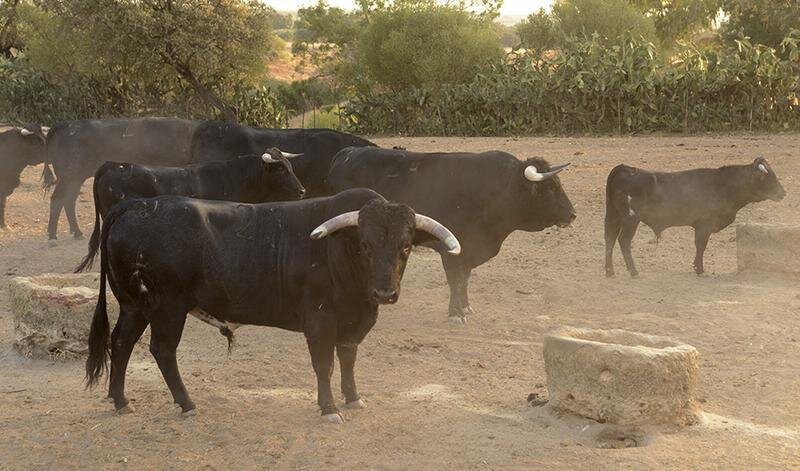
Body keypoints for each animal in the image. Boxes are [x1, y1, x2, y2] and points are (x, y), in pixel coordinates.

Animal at [84, 188, 460, 424]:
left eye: (406, 246)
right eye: (365, 244)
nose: (384, 293)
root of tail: (136, 206)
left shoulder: (352, 325)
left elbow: (348, 360)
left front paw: (353, 398)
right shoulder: (320, 321)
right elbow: (324, 365)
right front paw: (329, 408)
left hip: (134, 306)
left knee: (121, 343)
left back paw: (120, 400)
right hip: (167, 309)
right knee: (162, 350)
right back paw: (187, 404)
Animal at [324, 148, 576, 324]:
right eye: (549, 188)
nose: (572, 214)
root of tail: (345, 153)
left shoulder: (470, 250)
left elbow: (464, 280)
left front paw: (465, 307)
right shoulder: (451, 251)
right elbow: (455, 280)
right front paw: (455, 313)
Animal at [604, 159, 784, 276]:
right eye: (771, 177)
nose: (783, 192)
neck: (724, 185)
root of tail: (627, 169)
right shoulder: (705, 224)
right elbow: (701, 245)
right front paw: (699, 269)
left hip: (613, 215)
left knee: (609, 239)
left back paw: (609, 271)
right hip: (631, 219)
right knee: (623, 240)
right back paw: (633, 271)